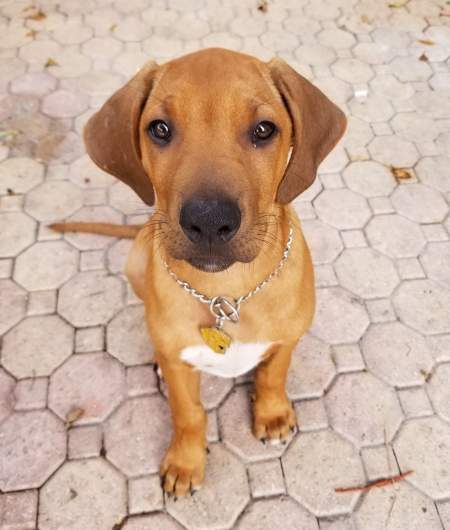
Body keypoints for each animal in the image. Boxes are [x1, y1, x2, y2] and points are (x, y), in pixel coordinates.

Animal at [53, 48, 348, 496]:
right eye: (159, 129)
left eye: (264, 129)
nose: (209, 221)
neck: (226, 293)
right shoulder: (181, 370)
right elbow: (188, 413)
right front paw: (185, 462)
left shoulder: (288, 337)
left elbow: (273, 374)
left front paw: (272, 414)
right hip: (135, 260)